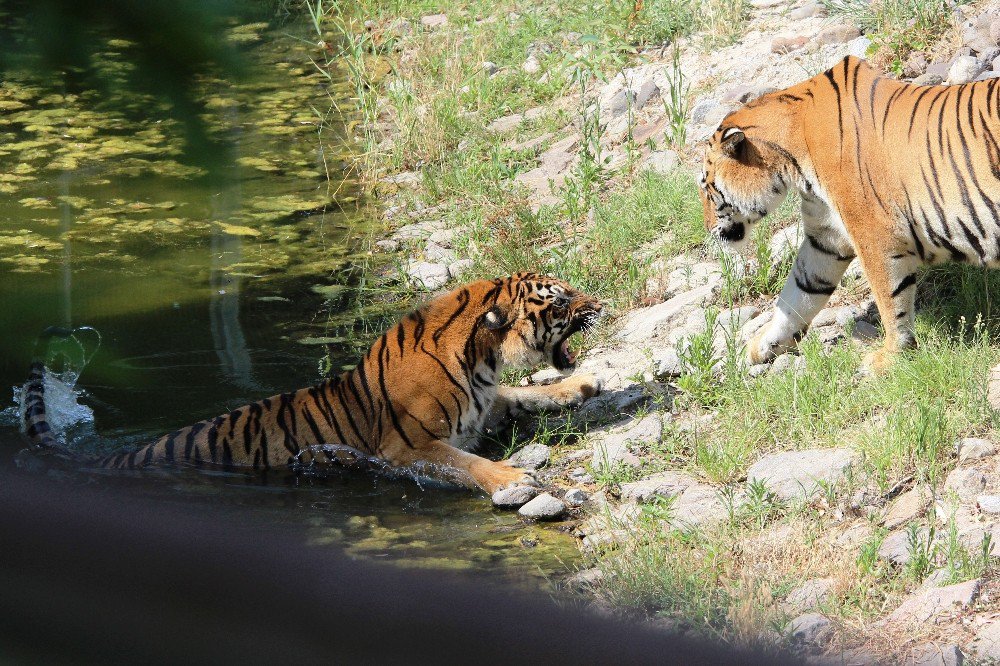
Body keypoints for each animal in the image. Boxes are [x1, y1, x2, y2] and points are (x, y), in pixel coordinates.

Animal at [21, 272, 600, 496]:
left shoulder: (485, 400)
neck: (483, 357)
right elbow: (466, 463)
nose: (599, 302)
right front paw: (513, 478)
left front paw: (583, 384)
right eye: (560, 299)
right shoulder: (406, 447)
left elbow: (520, 392)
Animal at [700, 54, 1000, 370]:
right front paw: (761, 346)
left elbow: (889, 298)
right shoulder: (826, 238)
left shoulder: (874, 234)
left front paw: (890, 357)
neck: (793, 164)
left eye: (706, 188)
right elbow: (798, 294)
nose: (707, 228)